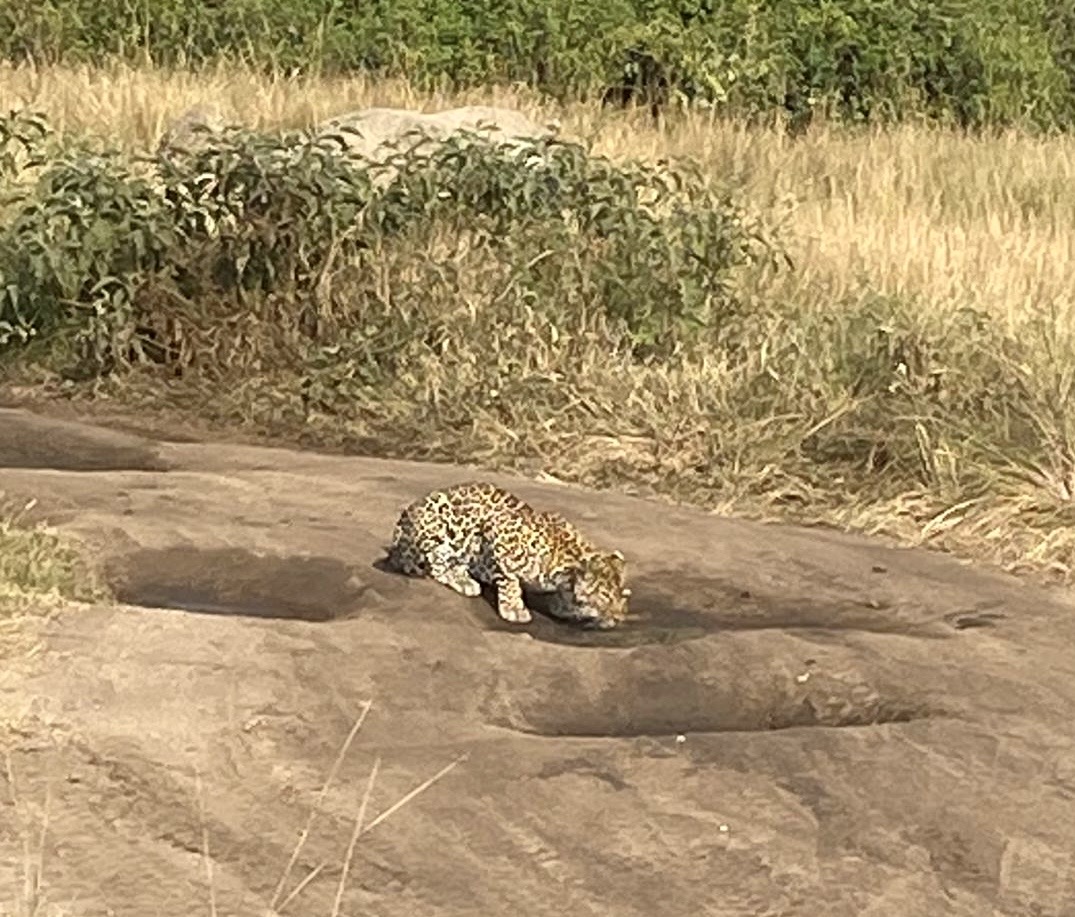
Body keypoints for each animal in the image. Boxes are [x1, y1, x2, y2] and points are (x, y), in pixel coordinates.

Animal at [384, 481, 631, 629]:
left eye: (622, 595)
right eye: (606, 596)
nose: (620, 619)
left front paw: (567, 607)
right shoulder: (499, 533)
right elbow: (510, 579)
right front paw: (514, 608)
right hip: (438, 527)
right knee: (427, 560)